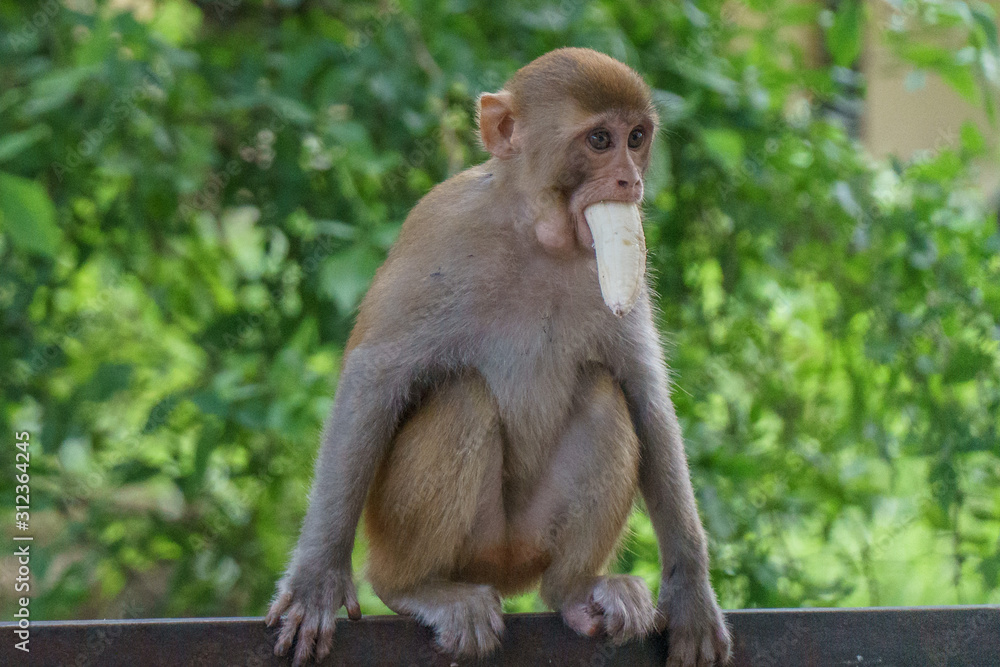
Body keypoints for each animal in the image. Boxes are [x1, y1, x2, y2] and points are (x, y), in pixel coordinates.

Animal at [268, 48, 736, 667]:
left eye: (637, 138)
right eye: (600, 140)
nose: (630, 181)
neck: (537, 231)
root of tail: (507, 571)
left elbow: (643, 393)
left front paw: (691, 593)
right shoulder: (439, 229)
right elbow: (374, 380)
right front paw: (316, 579)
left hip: (530, 544)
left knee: (602, 394)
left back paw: (577, 591)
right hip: (418, 537)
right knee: (462, 398)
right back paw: (418, 589)